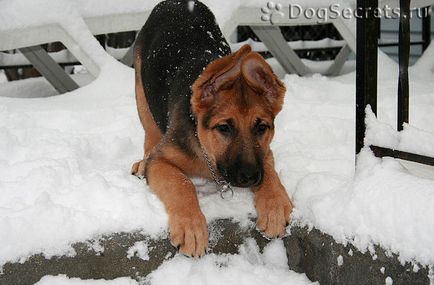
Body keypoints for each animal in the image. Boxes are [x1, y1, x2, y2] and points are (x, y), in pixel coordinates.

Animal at [131, 0, 294, 256]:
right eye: (224, 128)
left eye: (261, 127)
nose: (250, 178)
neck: (207, 153)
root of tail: (175, 2)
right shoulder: (160, 162)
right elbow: (182, 183)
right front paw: (191, 227)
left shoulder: (264, 153)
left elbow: (270, 170)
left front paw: (275, 204)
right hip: (141, 93)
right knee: (150, 135)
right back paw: (142, 161)